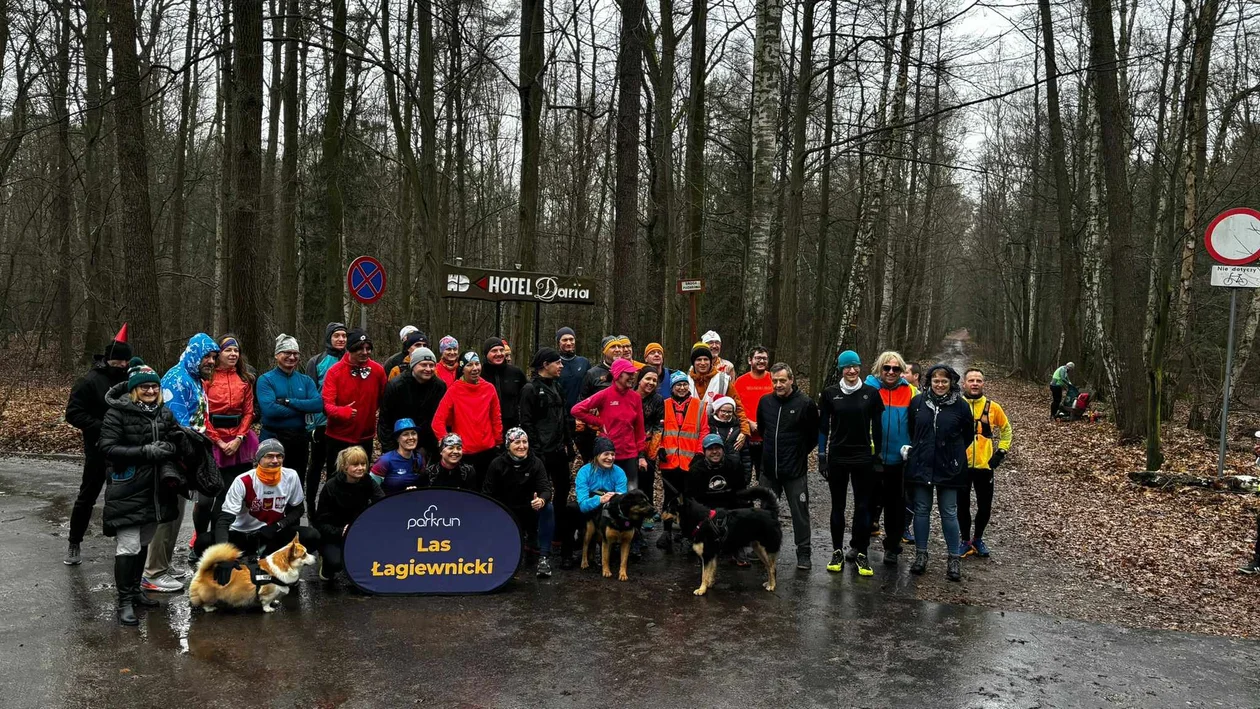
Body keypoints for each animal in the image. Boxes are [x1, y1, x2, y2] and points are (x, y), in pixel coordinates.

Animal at [186, 536, 315, 612]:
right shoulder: (267, 593)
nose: (315, 558)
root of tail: (204, 570)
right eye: (304, 555)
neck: (284, 566)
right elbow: (266, 602)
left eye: (307, 552)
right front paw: (268, 609)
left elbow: (273, 599)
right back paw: (210, 608)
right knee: (205, 603)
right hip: (209, 595)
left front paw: (275, 602)